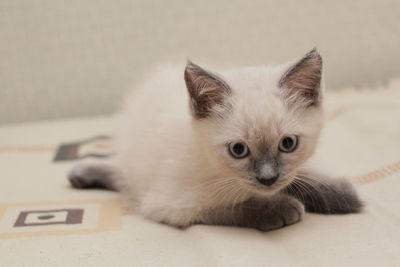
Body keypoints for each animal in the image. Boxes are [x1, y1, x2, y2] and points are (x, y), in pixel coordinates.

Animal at [69, 49, 362, 231]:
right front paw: (278, 209)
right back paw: (81, 174)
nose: (267, 178)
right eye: (238, 149)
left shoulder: (290, 172)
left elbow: (302, 177)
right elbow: (234, 207)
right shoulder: (173, 205)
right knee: (121, 174)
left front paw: (341, 195)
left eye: (288, 144)